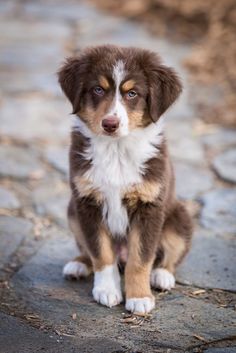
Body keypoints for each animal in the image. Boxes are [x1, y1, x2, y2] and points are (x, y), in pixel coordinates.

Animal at [58, 44, 193, 314]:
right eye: (98, 89)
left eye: (132, 94)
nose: (110, 124)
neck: (116, 149)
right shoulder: (87, 203)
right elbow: (101, 253)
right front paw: (106, 290)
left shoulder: (149, 206)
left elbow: (140, 259)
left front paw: (140, 298)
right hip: (72, 211)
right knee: (87, 250)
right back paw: (78, 264)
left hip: (180, 218)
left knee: (169, 255)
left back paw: (162, 276)